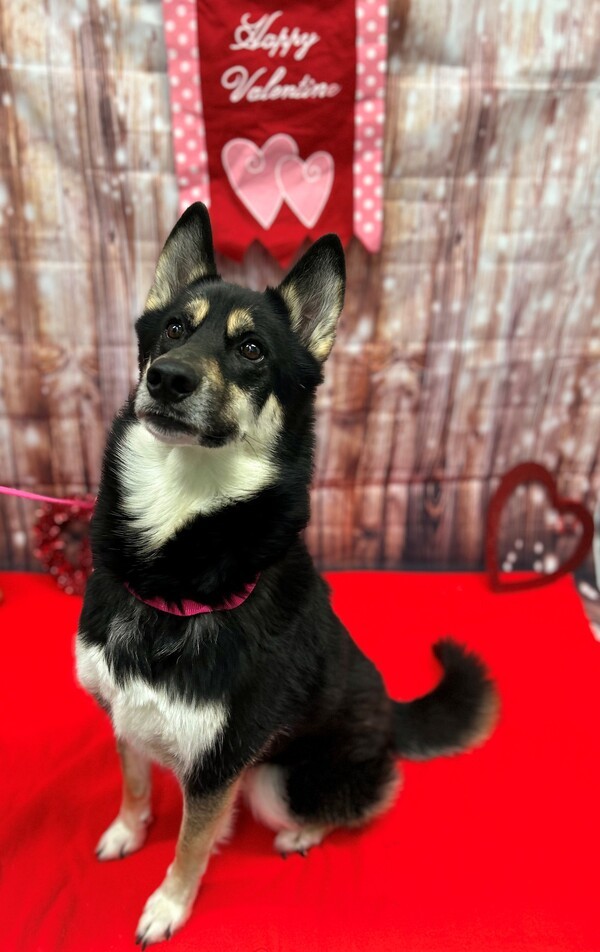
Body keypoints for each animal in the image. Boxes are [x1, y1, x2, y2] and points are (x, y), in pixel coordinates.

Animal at [75, 205, 496, 948]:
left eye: (251, 351)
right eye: (174, 328)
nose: (168, 378)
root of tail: (391, 713)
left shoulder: (222, 764)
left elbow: (192, 841)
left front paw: (169, 904)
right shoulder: (123, 715)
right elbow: (133, 781)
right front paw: (128, 830)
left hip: (277, 778)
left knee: (371, 796)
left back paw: (302, 834)